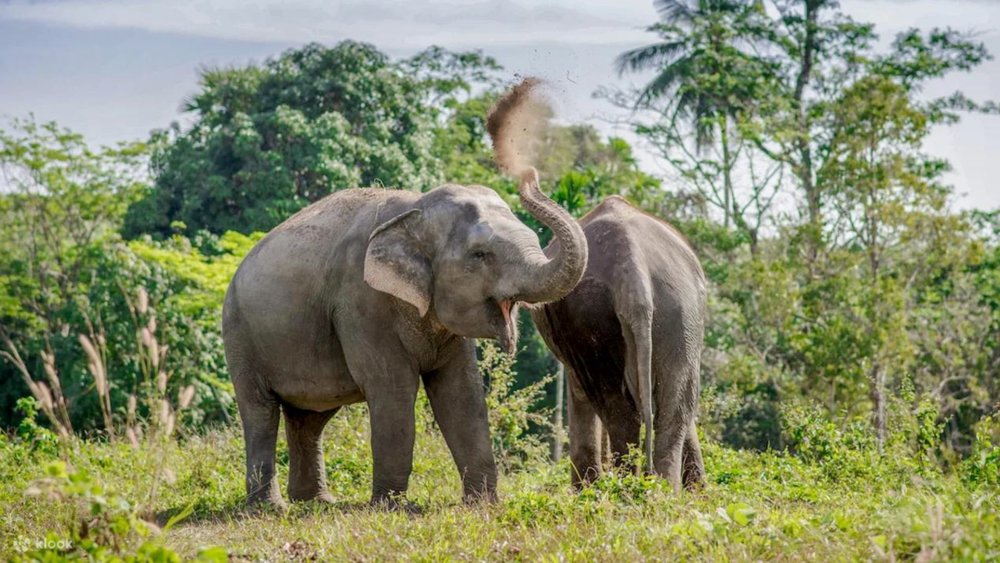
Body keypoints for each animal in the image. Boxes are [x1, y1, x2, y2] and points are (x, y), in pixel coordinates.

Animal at [222, 167, 587, 508]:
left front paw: (483, 503)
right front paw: (392, 507)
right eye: (480, 255)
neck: (415, 209)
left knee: (310, 419)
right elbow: (393, 388)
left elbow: (461, 394)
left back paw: (317, 502)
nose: (529, 175)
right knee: (261, 413)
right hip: (240, 336)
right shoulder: (361, 302)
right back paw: (270, 508)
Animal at [531, 196, 706, 491]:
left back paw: (627, 491)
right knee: (671, 410)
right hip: (680, 314)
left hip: (595, 316)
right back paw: (660, 493)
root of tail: (632, 272)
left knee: (617, 409)